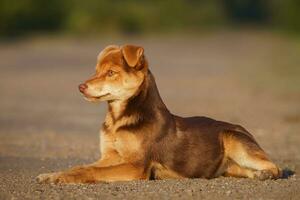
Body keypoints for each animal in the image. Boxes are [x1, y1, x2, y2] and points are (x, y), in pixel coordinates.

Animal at [37, 44, 282, 184]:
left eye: (111, 73)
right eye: (95, 71)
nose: (80, 87)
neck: (118, 119)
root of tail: (246, 130)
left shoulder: (137, 166)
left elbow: (91, 173)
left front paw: (62, 178)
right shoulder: (110, 156)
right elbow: (82, 167)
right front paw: (52, 174)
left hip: (234, 139)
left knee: (275, 167)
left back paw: (265, 175)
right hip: (231, 165)